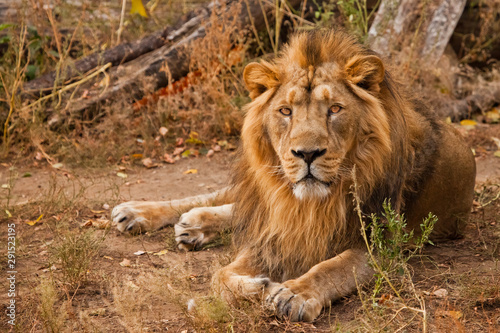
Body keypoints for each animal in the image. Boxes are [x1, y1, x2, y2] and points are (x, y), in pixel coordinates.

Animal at [112, 29, 476, 320]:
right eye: (285, 111)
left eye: (335, 109)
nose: (307, 154)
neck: (310, 205)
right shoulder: (273, 231)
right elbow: (220, 276)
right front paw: (259, 287)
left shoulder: (380, 242)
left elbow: (334, 267)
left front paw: (294, 293)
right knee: (225, 199)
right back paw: (141, 213)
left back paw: (192, 225)